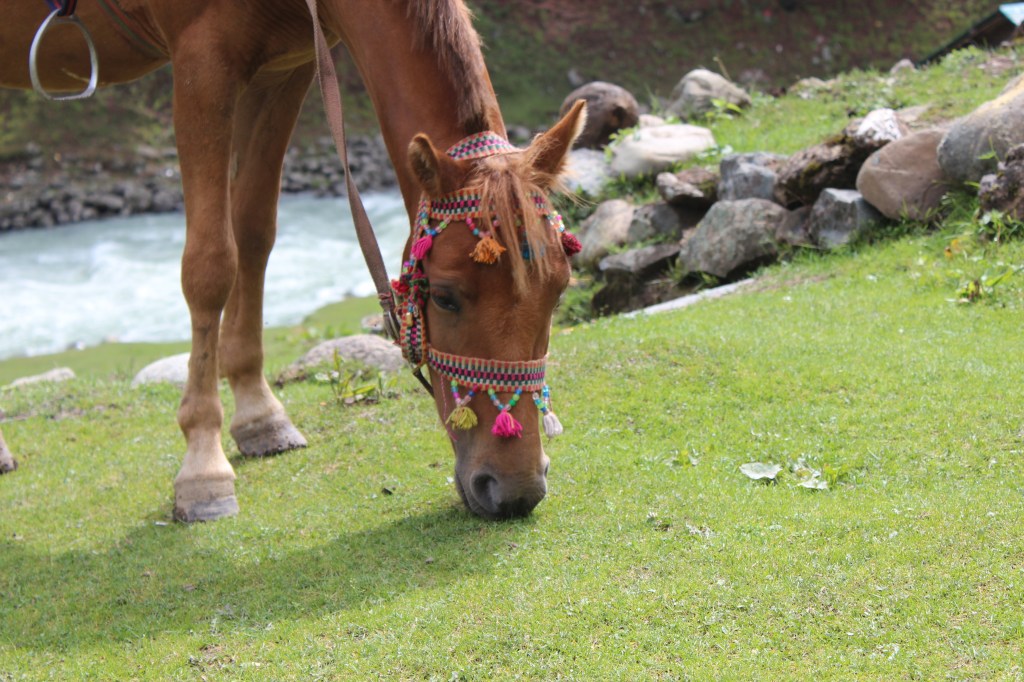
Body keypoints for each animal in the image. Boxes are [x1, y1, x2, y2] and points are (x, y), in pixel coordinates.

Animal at [0, 0, 585, 521]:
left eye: (558, 291)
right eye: (443, 296)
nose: (515, 488)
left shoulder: (285, 69)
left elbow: (254, 233)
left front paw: (259, 416)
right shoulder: (201, 61)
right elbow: (212, 261)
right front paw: (203, 466)